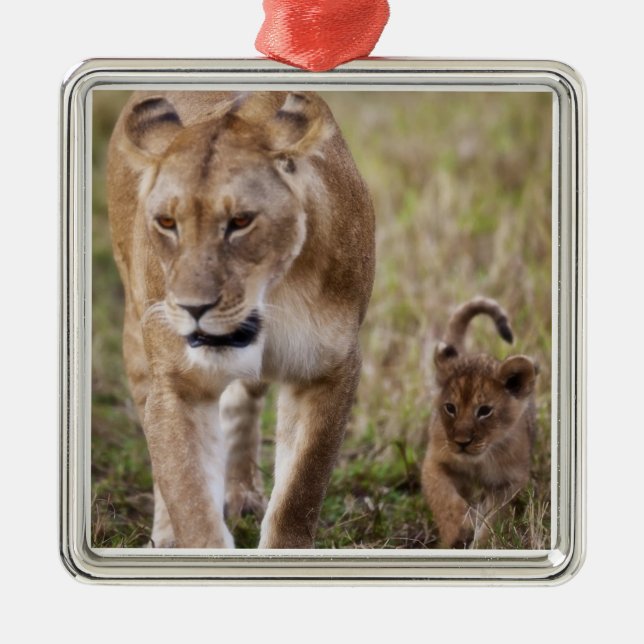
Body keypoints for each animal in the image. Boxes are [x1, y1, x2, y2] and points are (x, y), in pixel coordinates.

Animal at [107, 91, 375, 548]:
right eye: (167, 222)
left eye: (241, 222)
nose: (194, 308)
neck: (273, 297)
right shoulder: (177, 384)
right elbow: (188, 494)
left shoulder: (329, 369)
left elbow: (301, 488)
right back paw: (164, 537)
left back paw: (242, 494)